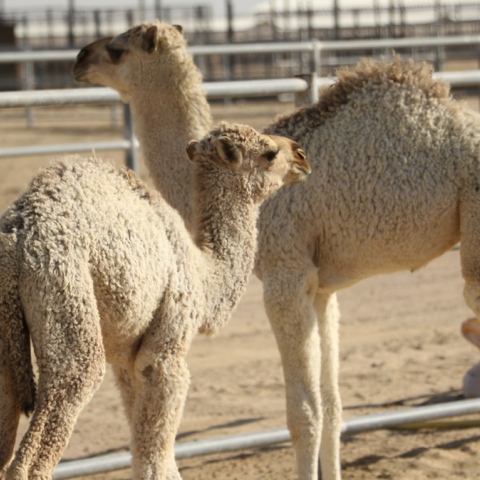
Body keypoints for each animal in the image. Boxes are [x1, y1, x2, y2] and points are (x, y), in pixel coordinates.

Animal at [0, 121, 312, 480]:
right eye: (269, 153)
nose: (302, 155)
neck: (202, 273)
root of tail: (16, 240)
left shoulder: (127, 359)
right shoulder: (165, 350)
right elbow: (155, 454)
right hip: (66, 297)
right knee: (43, 434)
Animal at [72, 21, 480, 480]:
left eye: (117, 49)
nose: (79, 58)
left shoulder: (284, 274)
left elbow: (303, 416)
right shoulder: (321, 288)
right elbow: (332, 408)